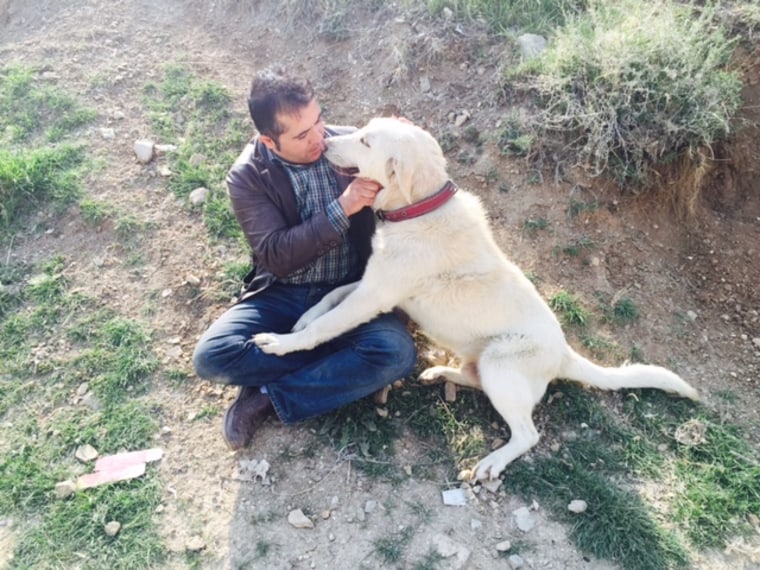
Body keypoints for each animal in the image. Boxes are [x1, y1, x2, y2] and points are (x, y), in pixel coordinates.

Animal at [254, 118, 696, 480]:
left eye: (364, 140)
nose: (324, 142)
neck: (417, 209)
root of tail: (564, 353)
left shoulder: (374, 294)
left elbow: (326, 326)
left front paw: (282, 343)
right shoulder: (371, 283)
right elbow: (329, 298)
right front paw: (303, 317)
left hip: (500, 362)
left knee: (527, 434)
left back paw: (492, 462)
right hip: (484, 362)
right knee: (473, 379)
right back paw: (439, 372)